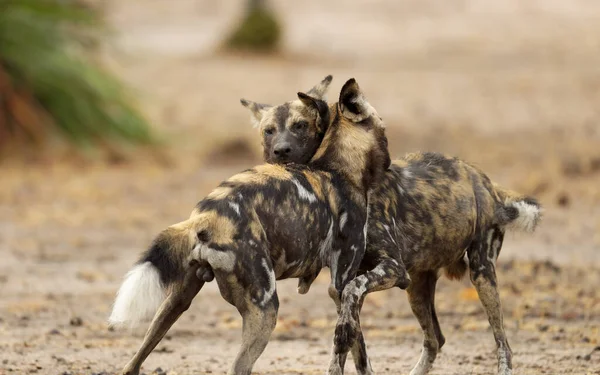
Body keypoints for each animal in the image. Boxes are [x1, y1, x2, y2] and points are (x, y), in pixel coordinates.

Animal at [109, 78, 400, 374]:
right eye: (385, 128)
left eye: (301, 126)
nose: (390, 163)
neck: (336, 168)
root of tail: (205, 217)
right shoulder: (342, 285)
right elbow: (355, 346)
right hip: (266, 308)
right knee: (239, 365)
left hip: (177, 301)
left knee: (135, 360)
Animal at [253, 78, 544, 374]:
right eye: (269, 131)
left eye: (300, 126)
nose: (280, 152)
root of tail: (483, 179)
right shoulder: (347, 284)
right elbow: (355, 347)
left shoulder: (387, 270)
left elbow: (348, 326)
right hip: (418, 286)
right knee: (435, 339)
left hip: (482, 274)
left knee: (502, 343)